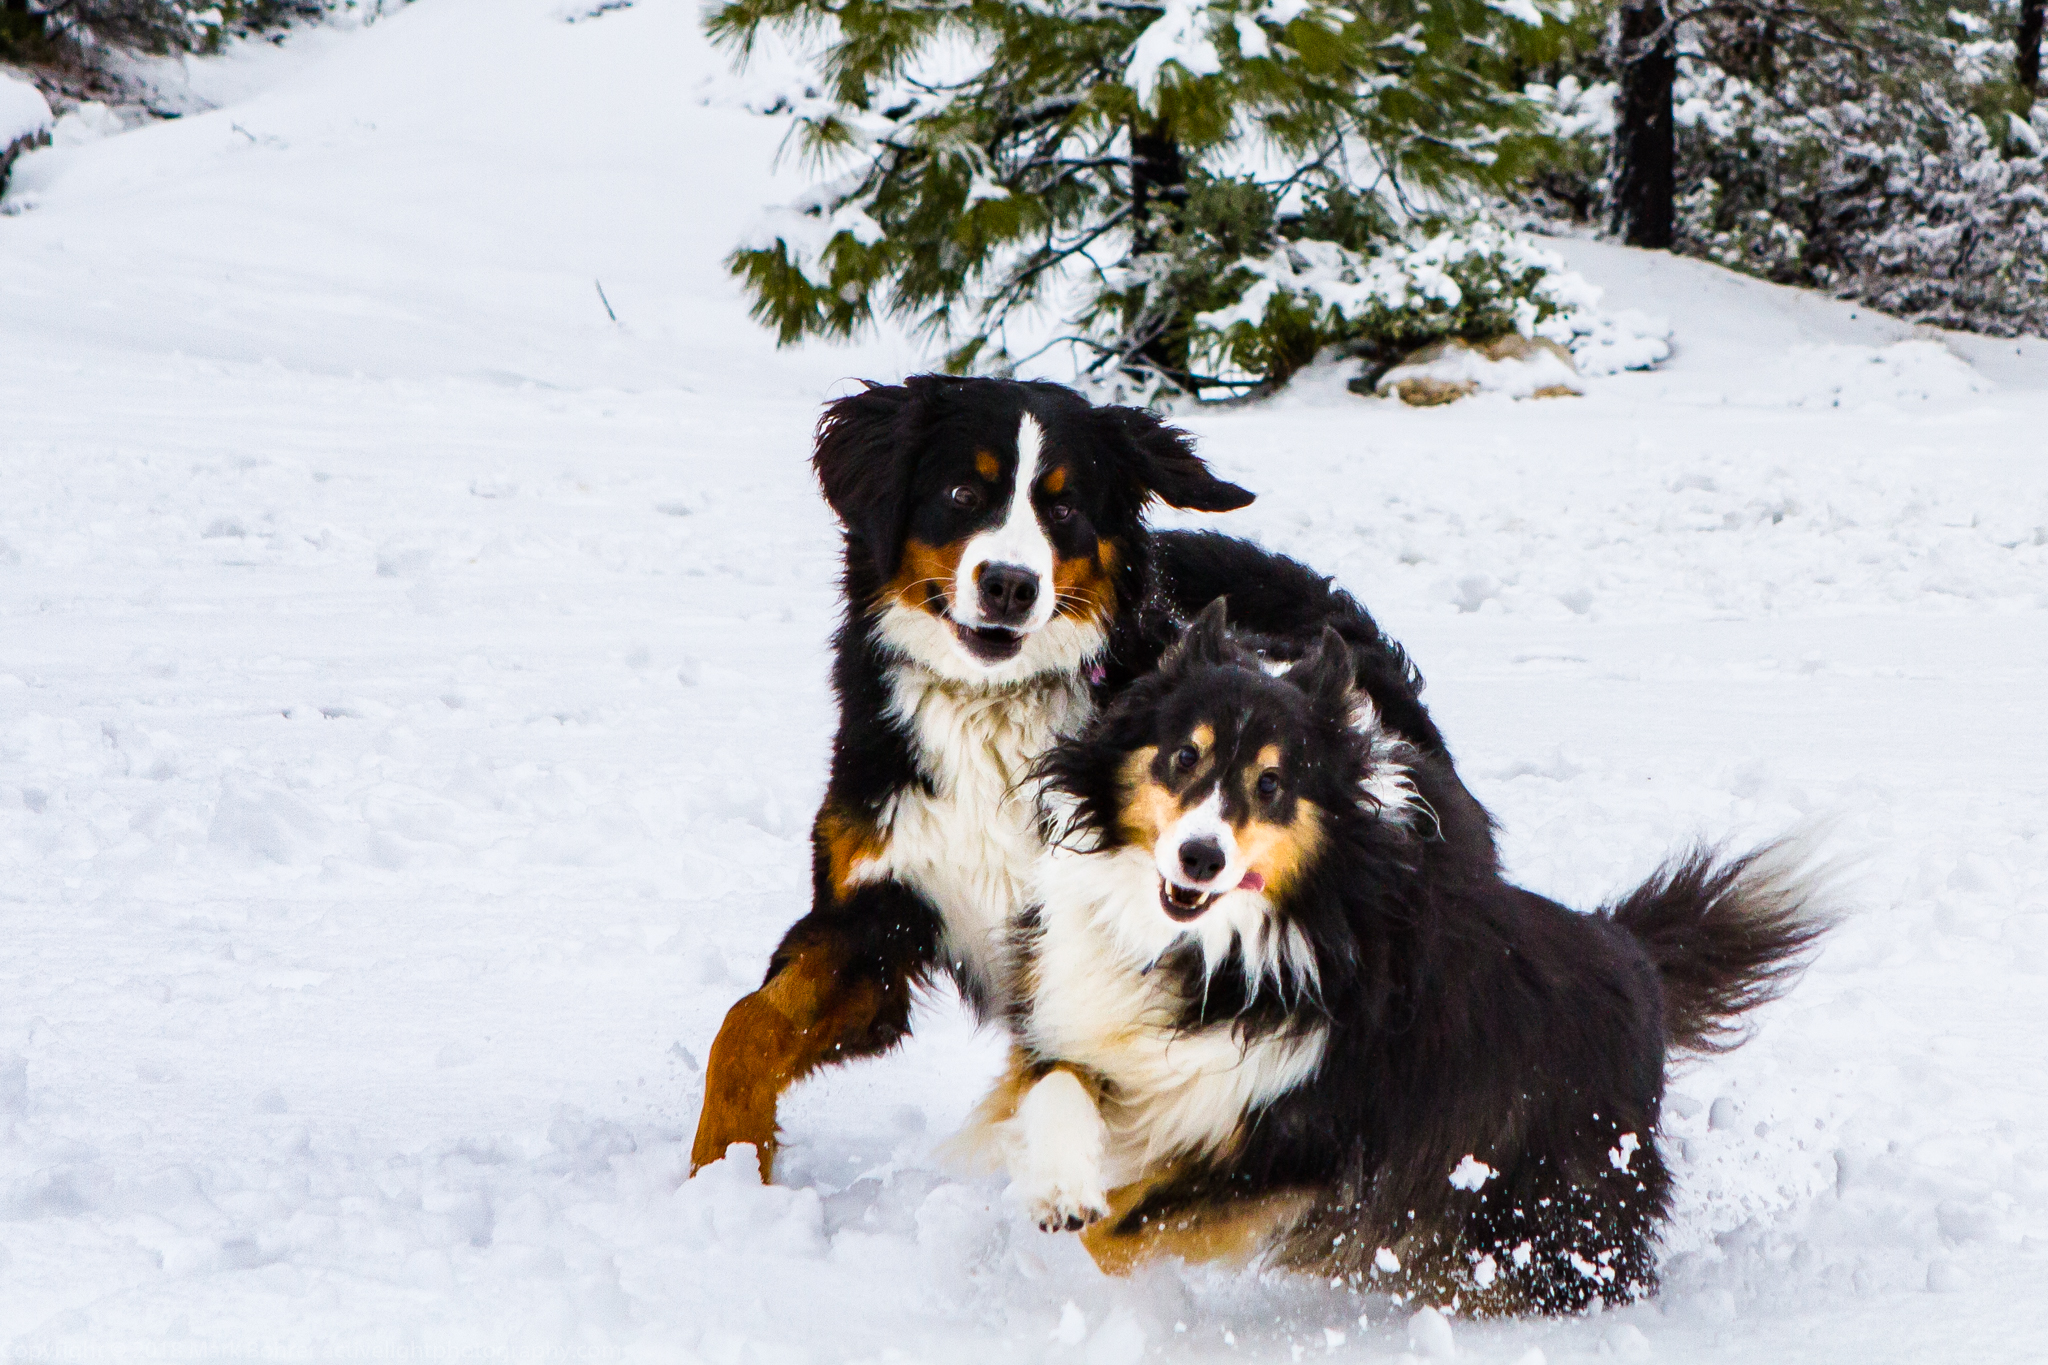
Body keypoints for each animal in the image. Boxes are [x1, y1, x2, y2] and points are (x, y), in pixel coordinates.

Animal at [688, 376, 1490, 1186]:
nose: (1009, 585)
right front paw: (723, 1166)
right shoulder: (877, 908)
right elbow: (746, 1025)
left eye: (1065, 507)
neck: (994, 711)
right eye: (961, 492)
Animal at [966, 605, 1835, 1309]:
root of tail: (1630, 958)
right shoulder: (1082, 1021)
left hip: (1551, 1214)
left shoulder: (1302, 1143)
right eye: (1183, 755)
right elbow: (1056, 1088)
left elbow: (1120, 1231)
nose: (1200, 857)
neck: (1211, 951)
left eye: (1272, 782)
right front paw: (1059, 1189)